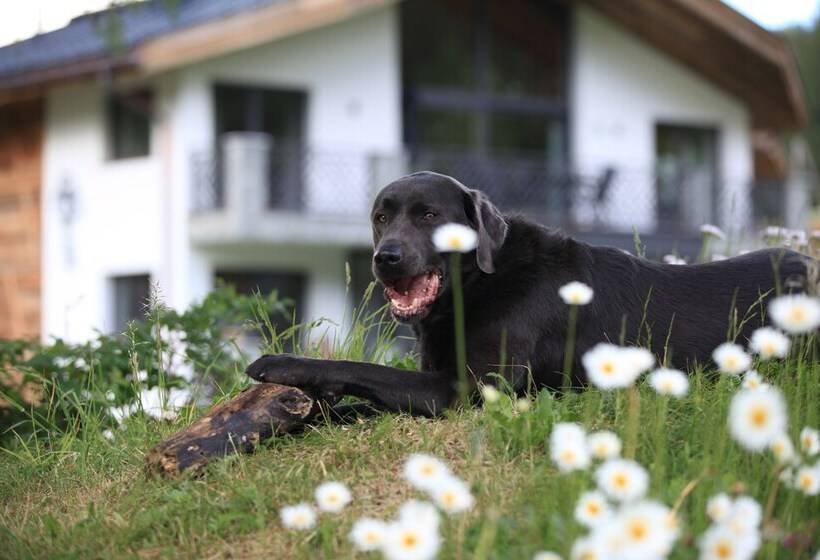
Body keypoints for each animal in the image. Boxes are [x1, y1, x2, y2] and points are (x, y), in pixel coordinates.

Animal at [245, 171, 808, 416]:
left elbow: (361, 368)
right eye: (381, 217)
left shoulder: (465, 389)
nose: (385, 259)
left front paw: (281, 364)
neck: (479, 283)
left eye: (428, 215)